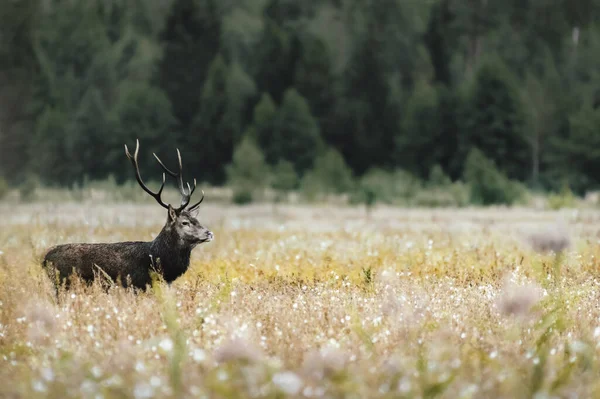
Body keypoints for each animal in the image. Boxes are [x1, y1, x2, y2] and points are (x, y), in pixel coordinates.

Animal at [41, 141, 213, 294]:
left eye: (197, 220)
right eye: (185, 222)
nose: (209, 233)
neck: (157, 261)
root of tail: (45, 258)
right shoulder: (135, 285)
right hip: (64, 283)